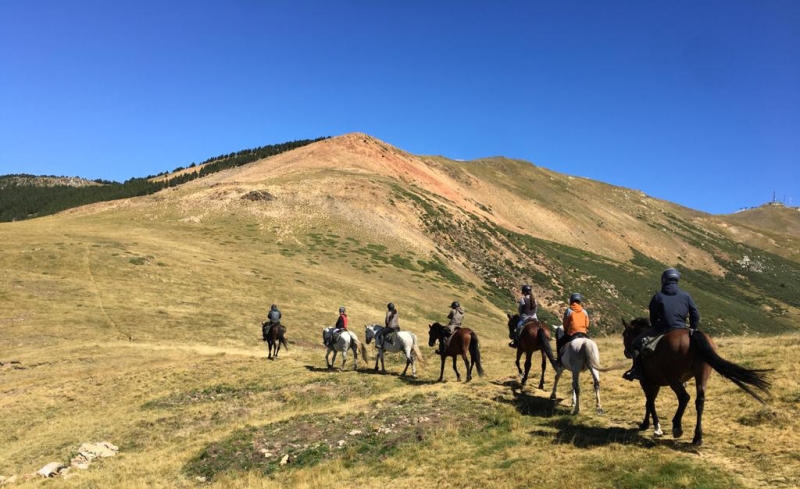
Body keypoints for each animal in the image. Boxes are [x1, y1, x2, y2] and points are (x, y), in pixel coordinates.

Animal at [620, 316, 772, 446]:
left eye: (625, 334)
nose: (626, 352)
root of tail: (692, 334)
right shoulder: (655, 383)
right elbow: (649, 403)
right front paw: (647, 424)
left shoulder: (646, 382)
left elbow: (650, 403)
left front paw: (655, 427)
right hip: (702, 375)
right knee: (700, 401)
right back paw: (697, 437)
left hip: (673, 378)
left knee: (684, 397)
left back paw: (677, 427)